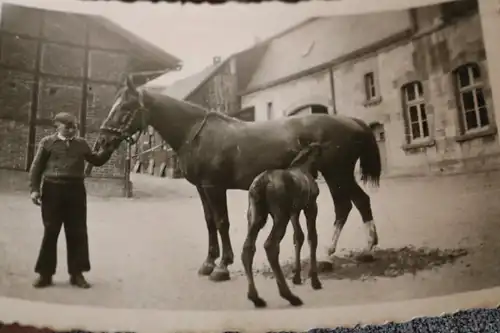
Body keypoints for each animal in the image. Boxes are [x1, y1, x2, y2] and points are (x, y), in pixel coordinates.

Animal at [242, 141, 324, 308]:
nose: (318, 173)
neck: (303, 165)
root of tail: (260, 184)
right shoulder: (311, 206)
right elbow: (312, 237)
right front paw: (315, 281)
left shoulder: (294, 211)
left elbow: (298, 236)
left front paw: (297, 276)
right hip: (280, 216)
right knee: (271, 245)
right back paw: (290, 296)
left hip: (255, 216)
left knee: (248, 247)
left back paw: (256, 298)